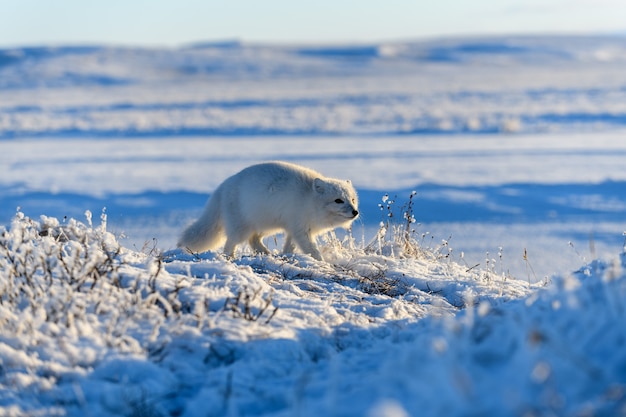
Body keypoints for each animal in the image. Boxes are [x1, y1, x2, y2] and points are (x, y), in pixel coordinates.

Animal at [178, 160, 358, 260]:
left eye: (352, 200)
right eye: (338, 200)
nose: (355, 212)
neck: (309, 199)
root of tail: (223, 186)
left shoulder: (294, 229)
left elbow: (290, 247)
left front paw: (286, 256)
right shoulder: (300, 229)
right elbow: (312, 250)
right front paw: (323, 264)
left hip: (268, 225)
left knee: (253, 240)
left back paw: (267, 254)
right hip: (241, 228)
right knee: (230, 243)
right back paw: (230, 257)